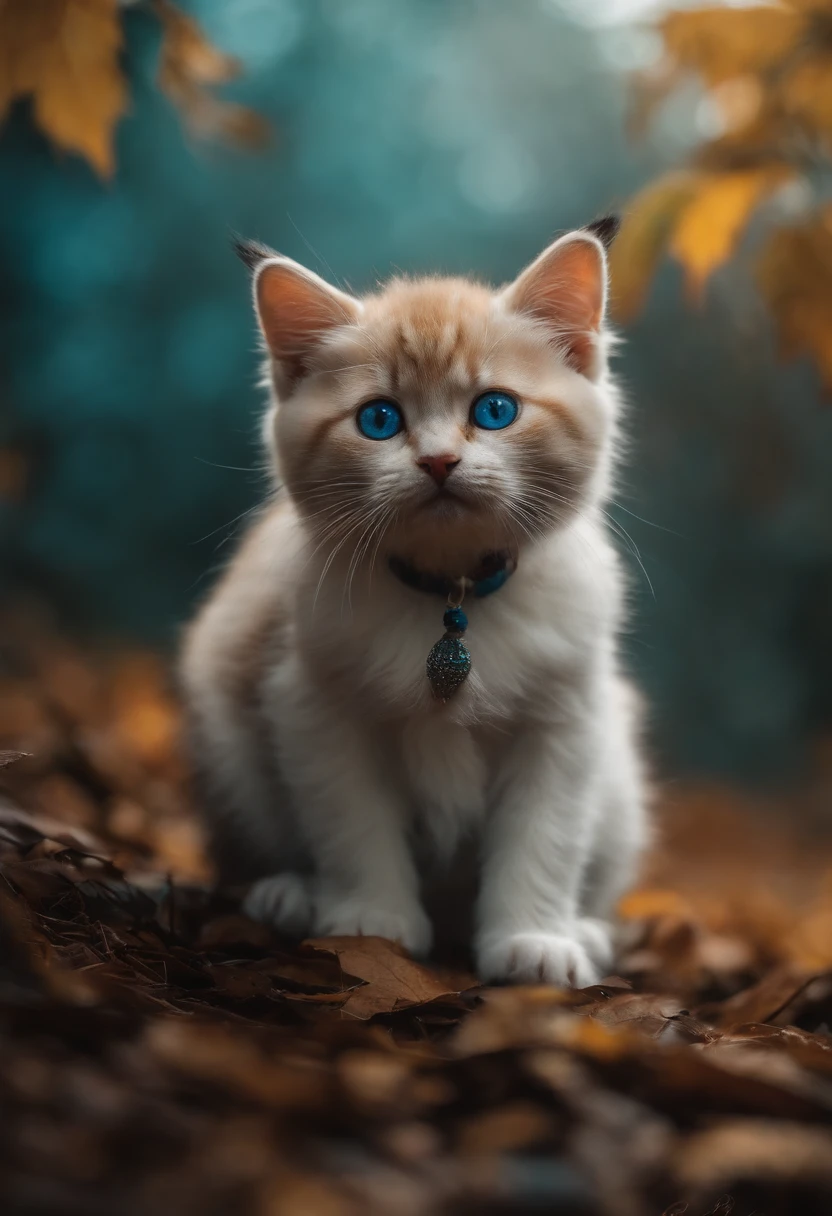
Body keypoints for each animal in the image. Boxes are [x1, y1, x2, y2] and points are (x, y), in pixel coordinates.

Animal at [180, 218, 651, 987]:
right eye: (379, 419)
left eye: (495, 409)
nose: (438, 462)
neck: (452, 598)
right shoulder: (315, 704)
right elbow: (353, 821)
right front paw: (371, 920)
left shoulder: (567, 716)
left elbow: (545, 835)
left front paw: (533, 939)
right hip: (227, 740)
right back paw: (289, 894)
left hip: (620, 783)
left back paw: (584, 928)